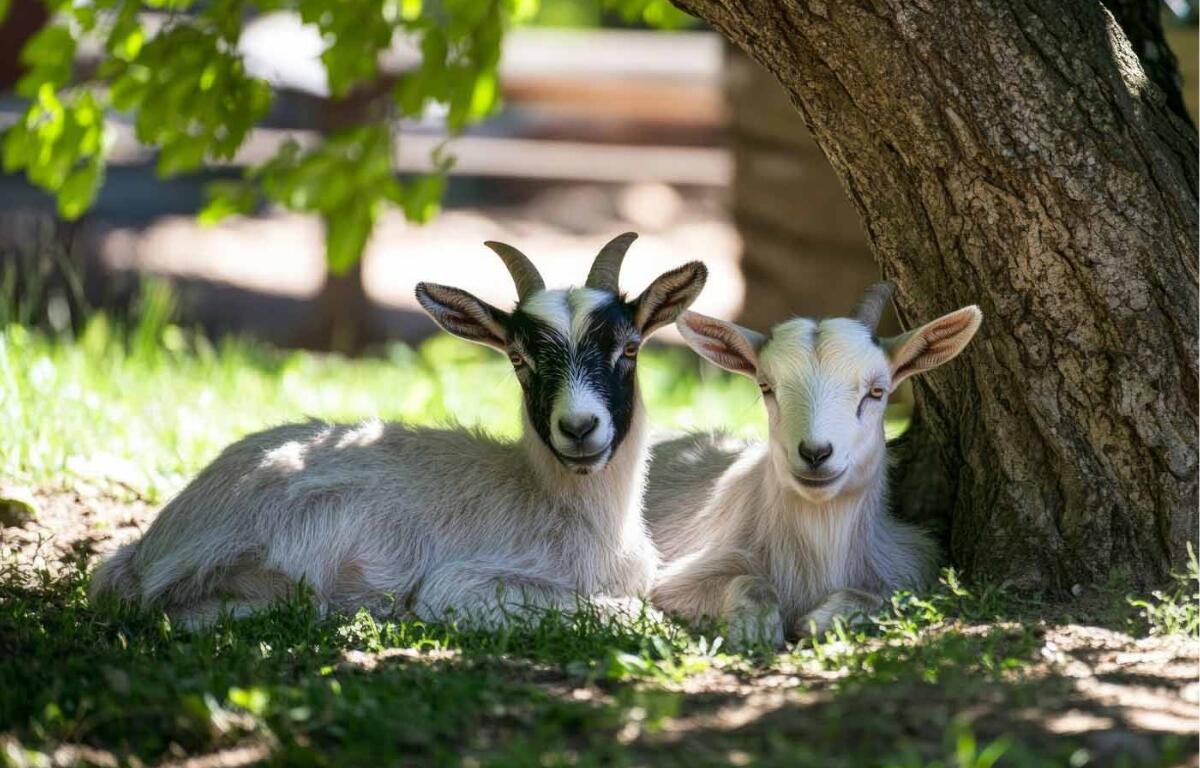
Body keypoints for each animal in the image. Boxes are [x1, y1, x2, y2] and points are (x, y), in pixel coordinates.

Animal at [90, 234, 708, 629]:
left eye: (630, 347)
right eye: (518, 358)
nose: (579, 428)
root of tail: (150, 544)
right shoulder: (461, 587)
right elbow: (636, 613)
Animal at [644, 283, 981, 646]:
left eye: (877, 391)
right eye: (766, 387)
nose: (815, 453)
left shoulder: (911, 568)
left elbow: (874, 596)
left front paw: (821, 620)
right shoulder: (681, 576)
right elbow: (750, 583)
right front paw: (755, 630)